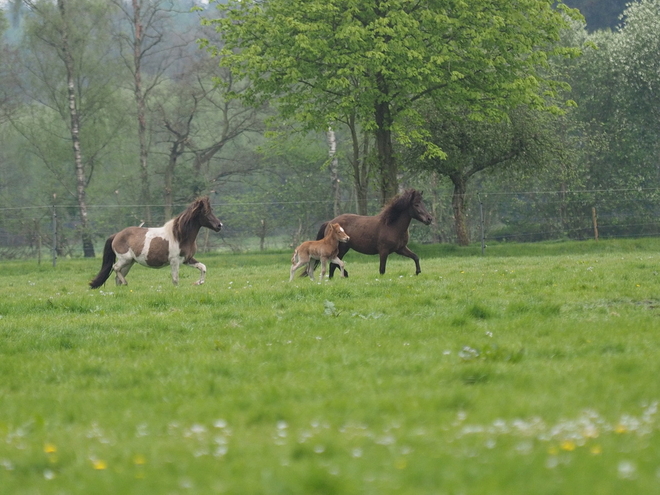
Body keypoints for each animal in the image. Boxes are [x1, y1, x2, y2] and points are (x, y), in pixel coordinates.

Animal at [89, 198, 223, 288]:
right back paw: (126, 283)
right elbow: (175, 279)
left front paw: (198, 282)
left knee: (118, 276)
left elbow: (203, 267)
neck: (179, 236)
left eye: (211, 210)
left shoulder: (187, 259)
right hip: (125, 259)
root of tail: (116, 235)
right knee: (115, 268)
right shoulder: (174, 261)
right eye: (205, 212)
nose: (219, 225)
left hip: (129, 263)